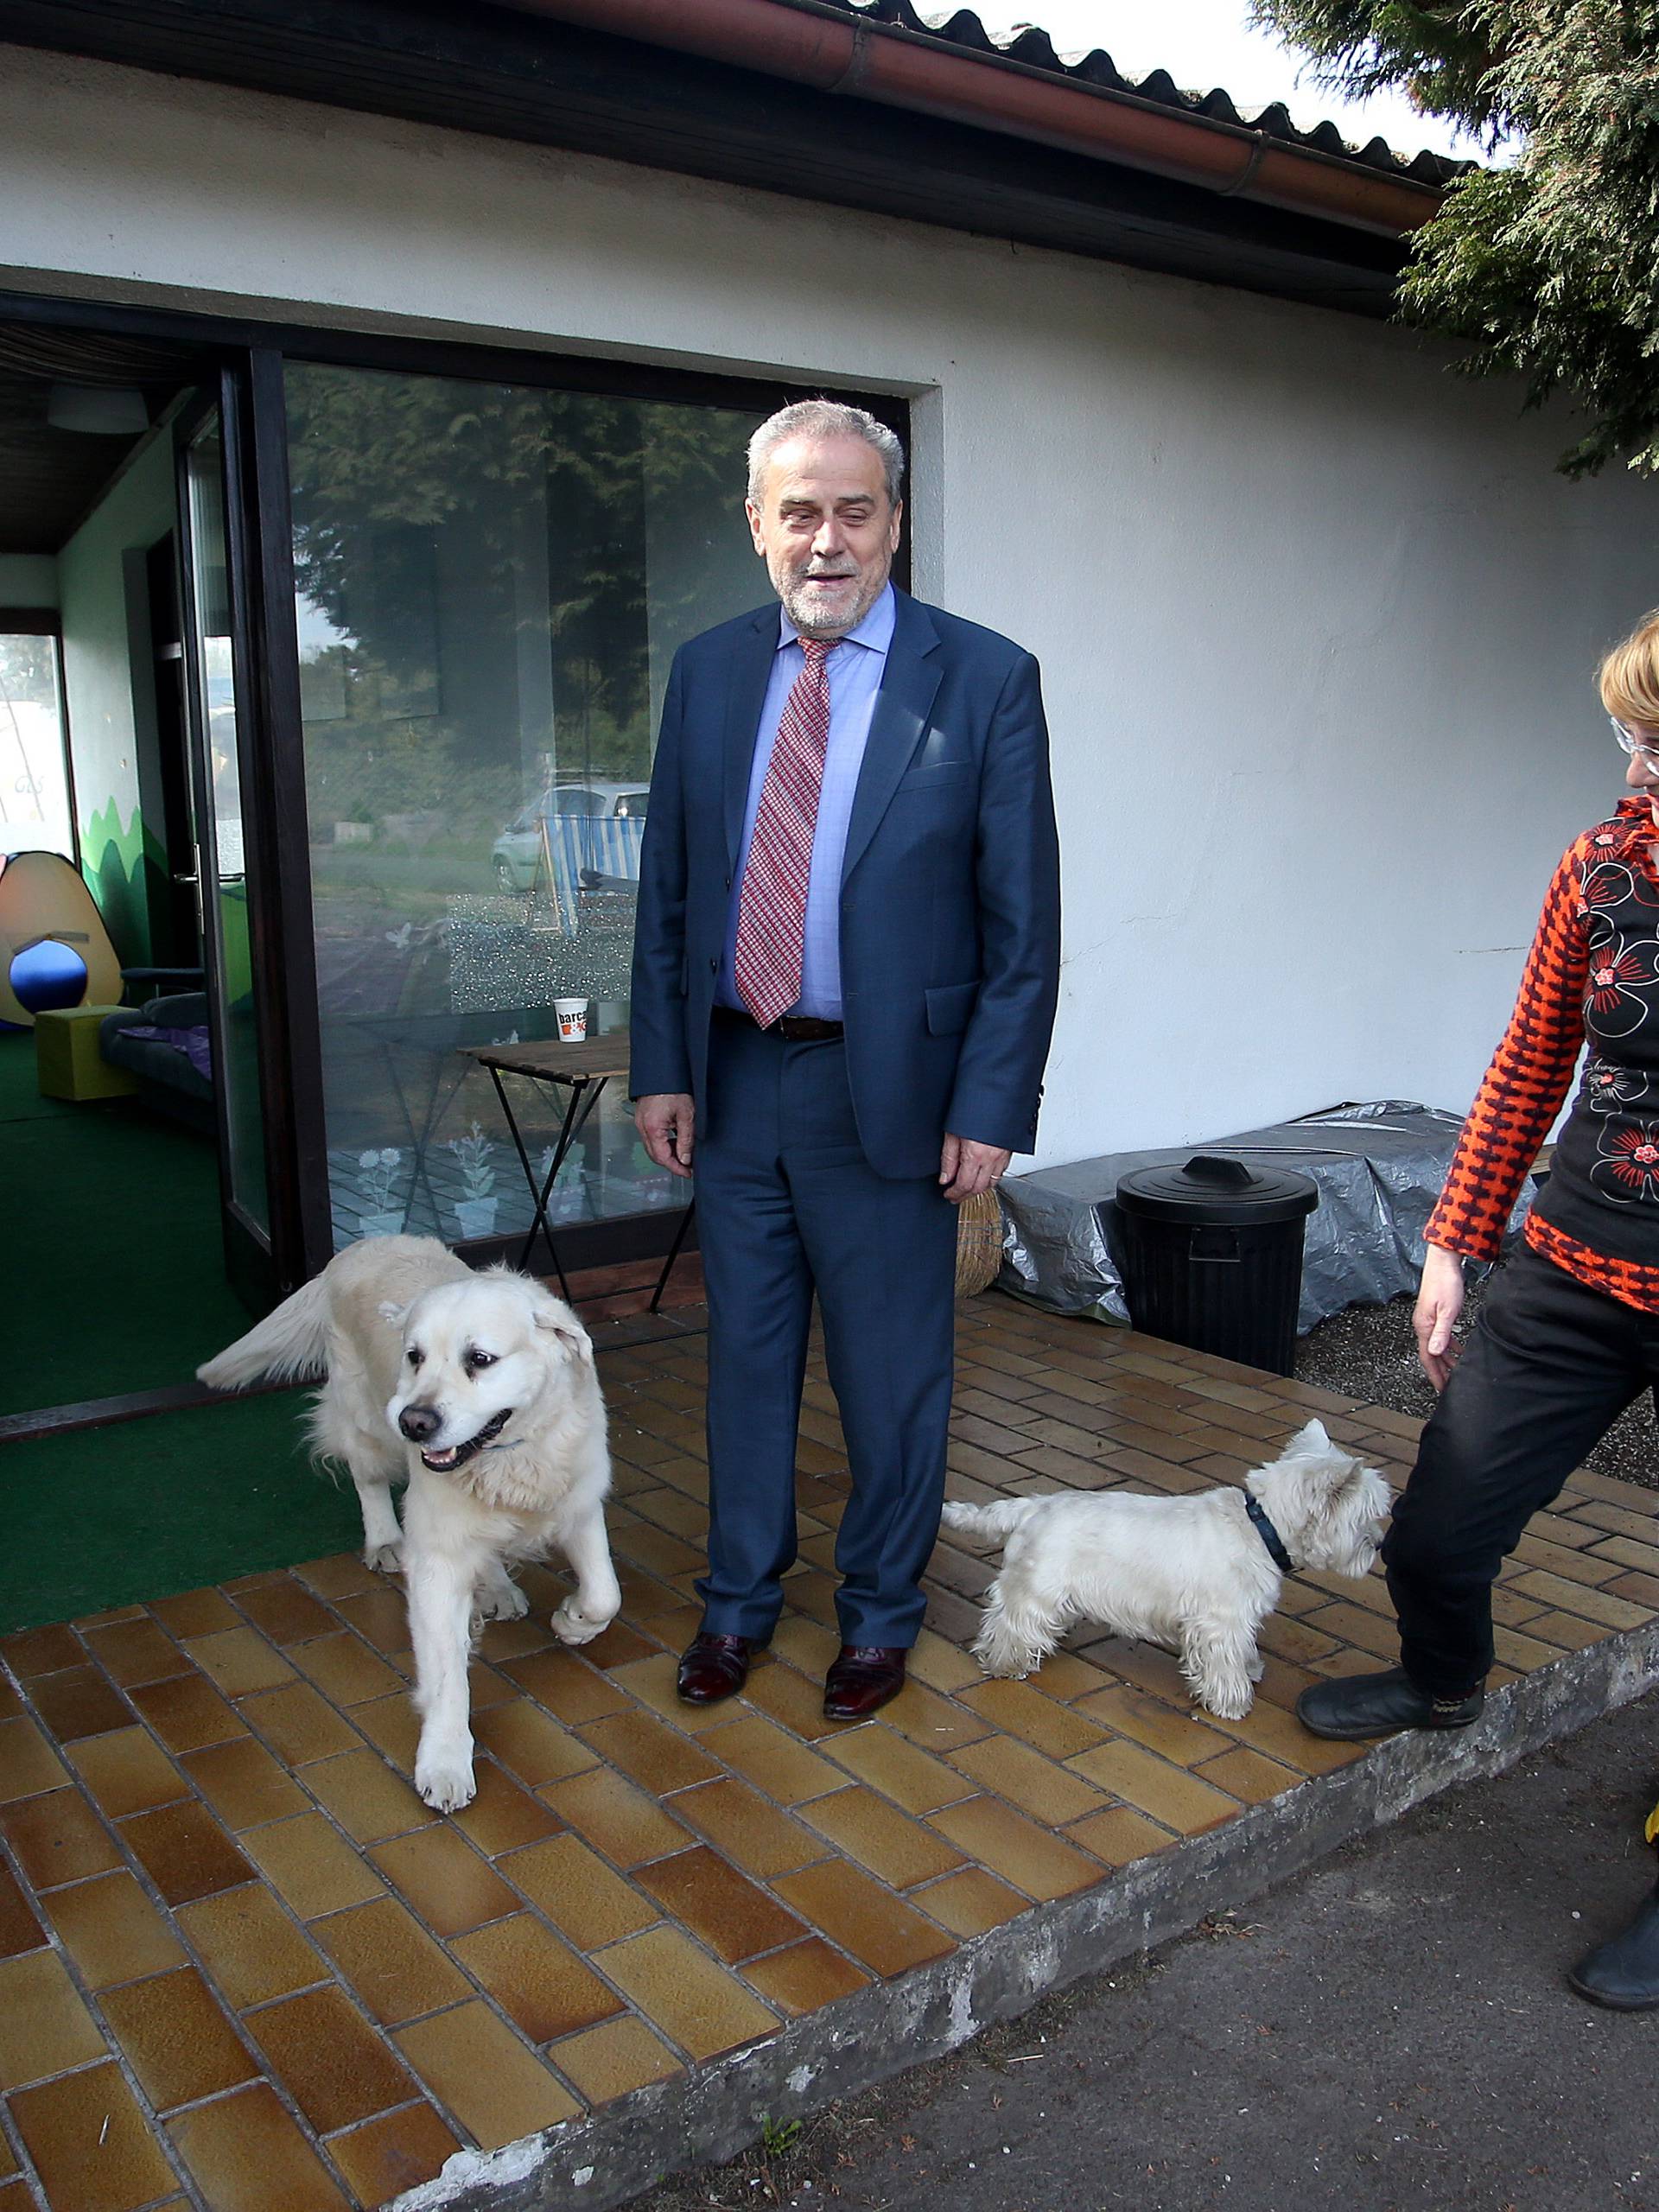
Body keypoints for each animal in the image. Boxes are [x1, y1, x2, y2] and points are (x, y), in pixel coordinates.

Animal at [946, 1424, 1389, 1716]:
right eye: (1367, 1517)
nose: (1381, 1544)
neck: (1261, 1526)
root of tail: (1033, 1506)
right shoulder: (1219, 1622)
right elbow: (1223, 1662)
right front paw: (1231, 1702)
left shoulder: (1237, 1619)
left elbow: (1244, 1649)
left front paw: (1251, 1670)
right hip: (1036, 1588)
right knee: (1008, 1624)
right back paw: (1007, 1664)